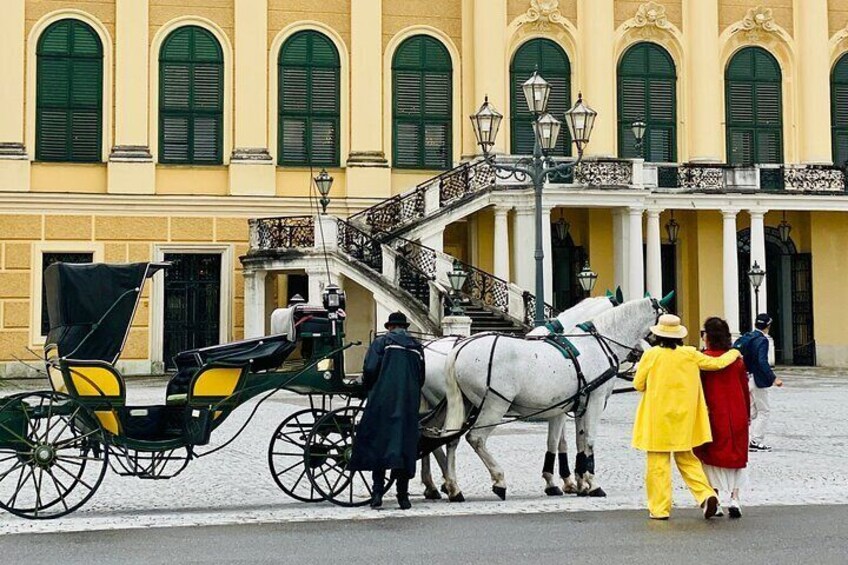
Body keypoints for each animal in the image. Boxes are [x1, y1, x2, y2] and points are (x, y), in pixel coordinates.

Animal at [440, 296, 664, 498]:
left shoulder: (573, 406)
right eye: (664, 316)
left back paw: (453, 487)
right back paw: (498, 480)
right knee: (476, 438)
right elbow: (587, 441)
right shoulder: (595, 402)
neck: (595, 344)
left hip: (466, 405)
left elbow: (573, 442)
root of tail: (459, 348)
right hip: (495, 406)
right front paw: (592, 484)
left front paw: (578, 483)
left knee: (452, 439)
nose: (641, 353)